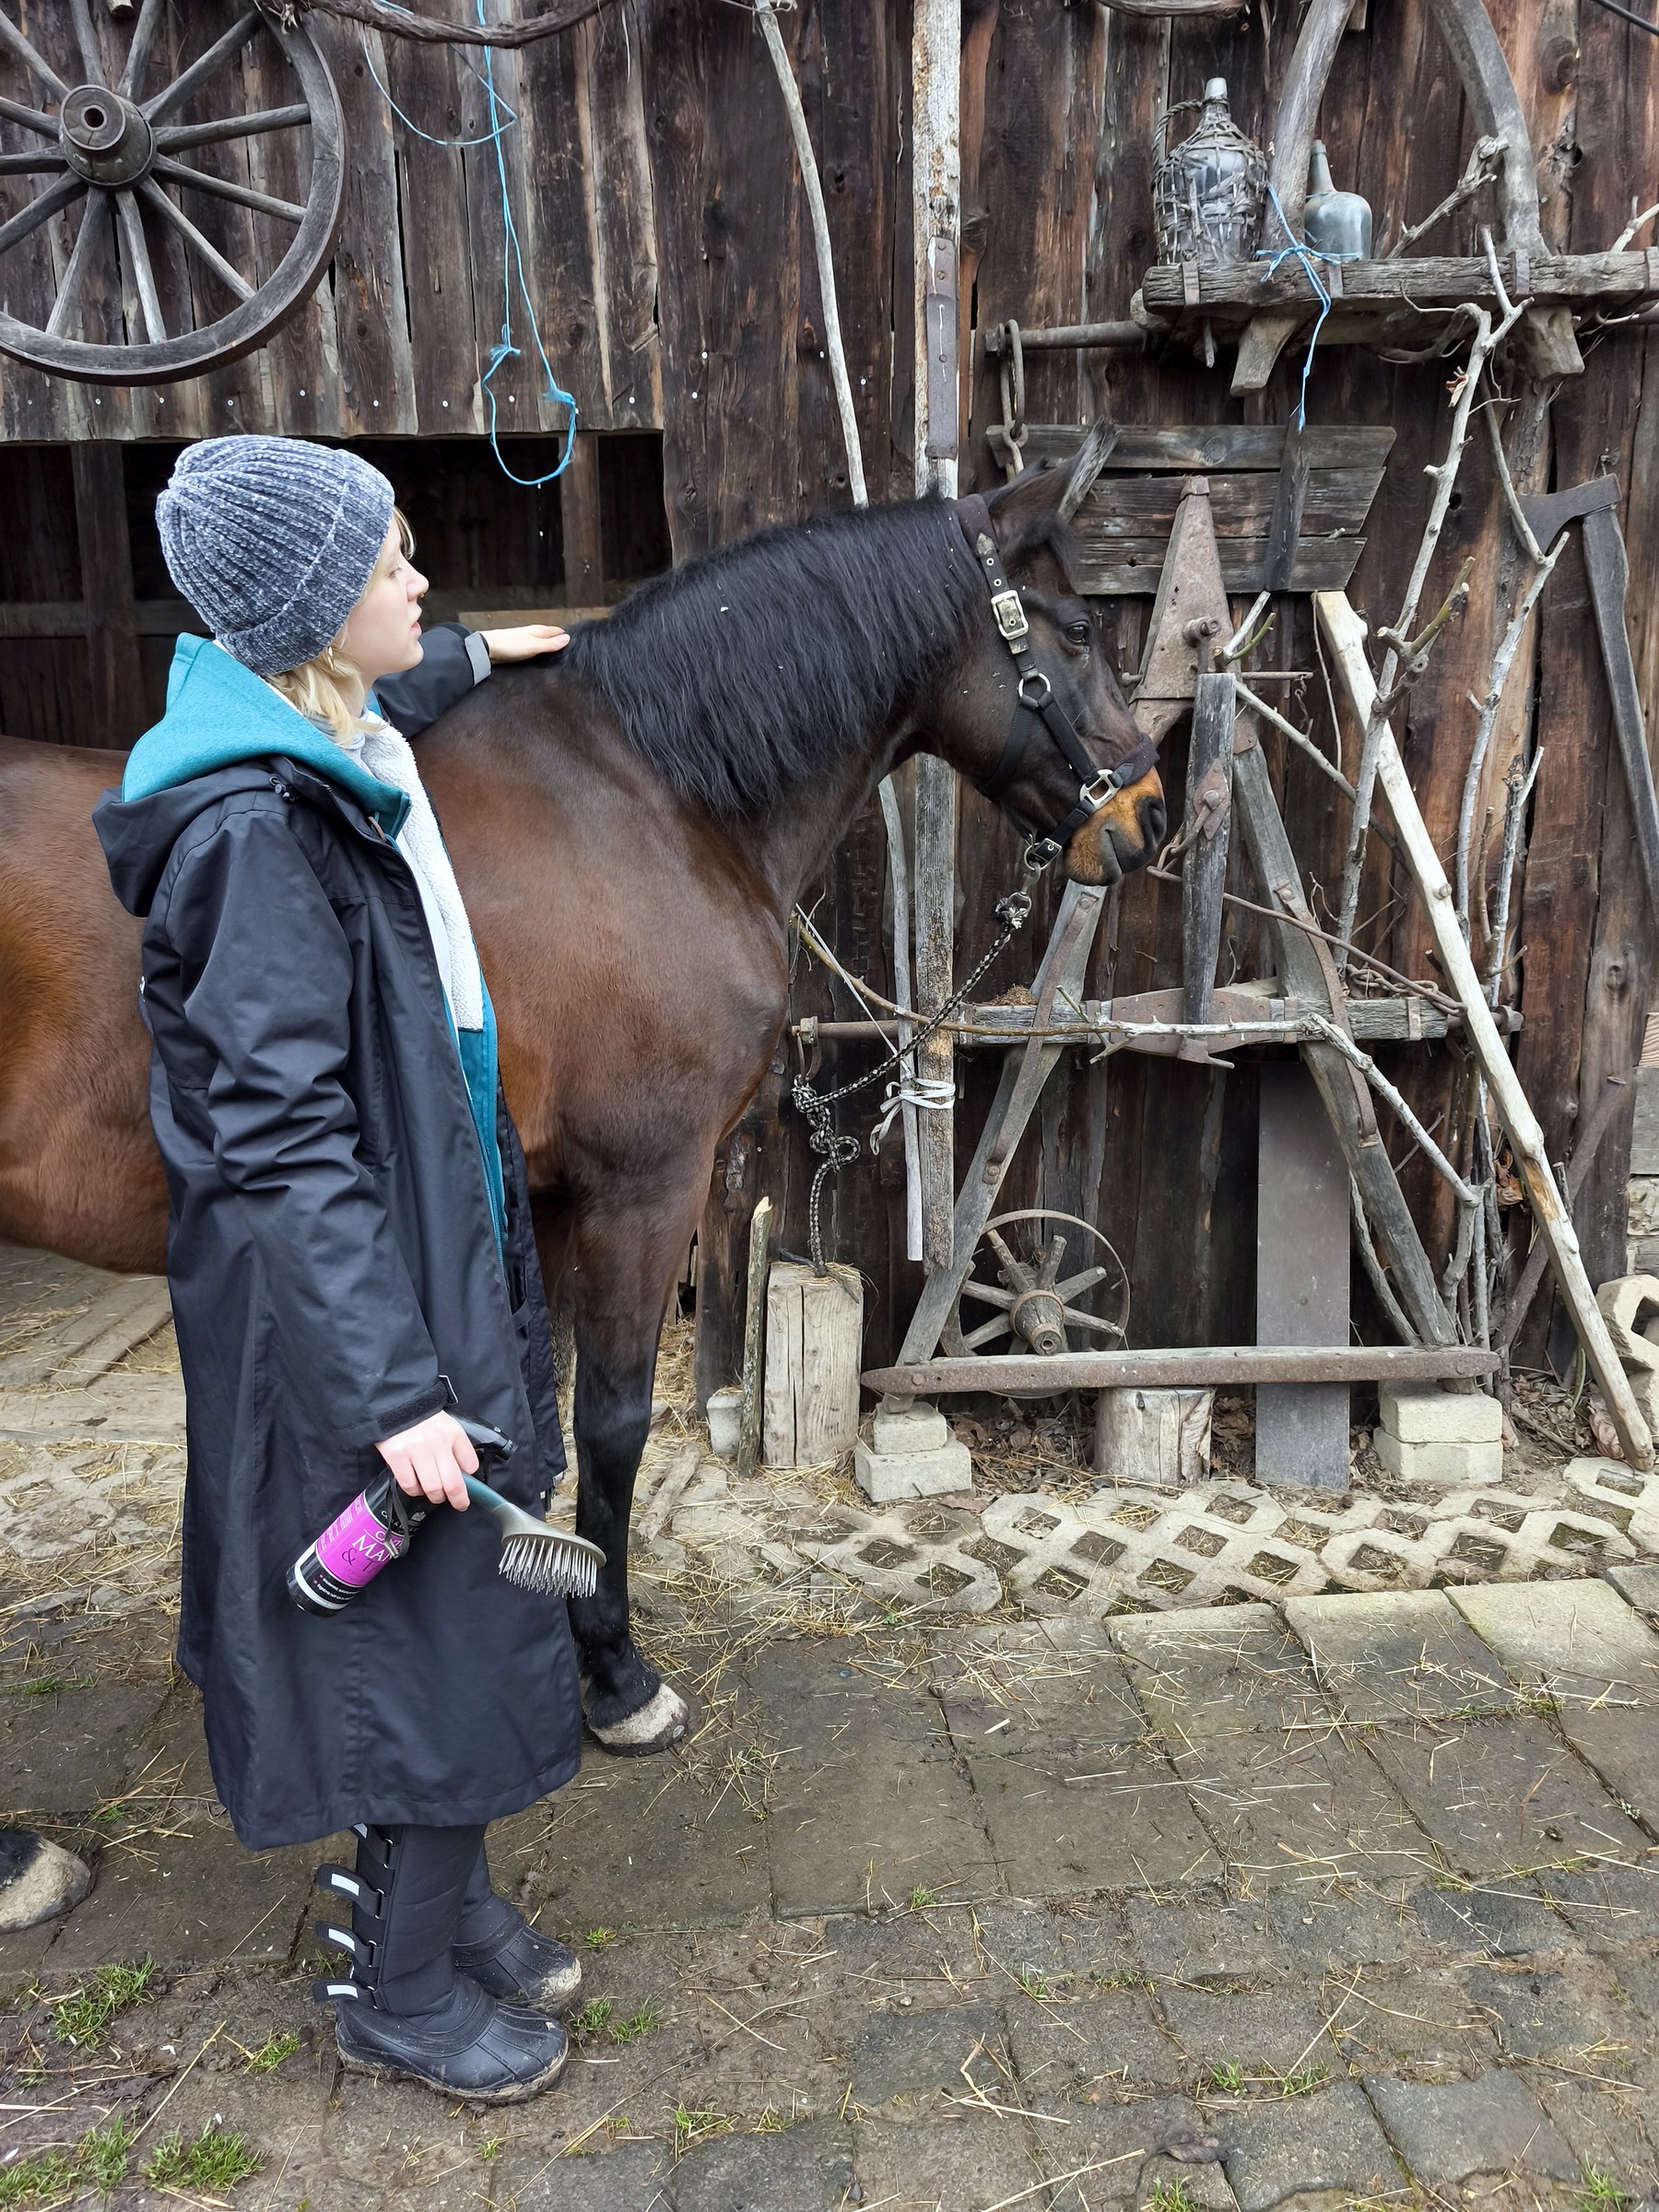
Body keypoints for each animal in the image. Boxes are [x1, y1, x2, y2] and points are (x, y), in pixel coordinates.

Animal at [0, 424, 1164, 1750]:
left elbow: (547, 1424)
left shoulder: (548, 1201)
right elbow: (611, 1429)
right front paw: (613, 1672)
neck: (656, 796)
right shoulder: (642, 1189)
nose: (1147, 812)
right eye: (1076, 627)